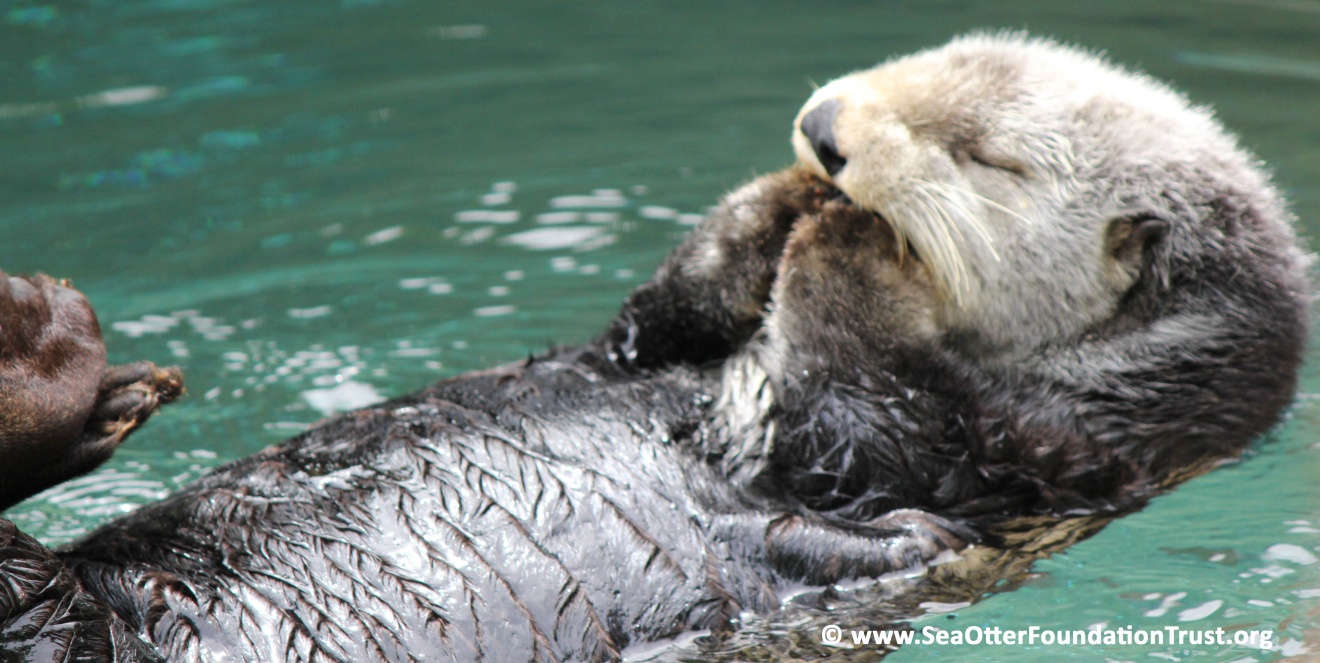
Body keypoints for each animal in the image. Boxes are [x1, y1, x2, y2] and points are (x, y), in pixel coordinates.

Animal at [1, 33, 1308, 662]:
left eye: (986, 155)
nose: (828, 131)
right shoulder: (647, 345)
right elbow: (658, 309)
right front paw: (784, 200)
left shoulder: (1027, 454)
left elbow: (858, 408)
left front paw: (853, 241)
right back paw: (48, 348)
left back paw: (45, 364)